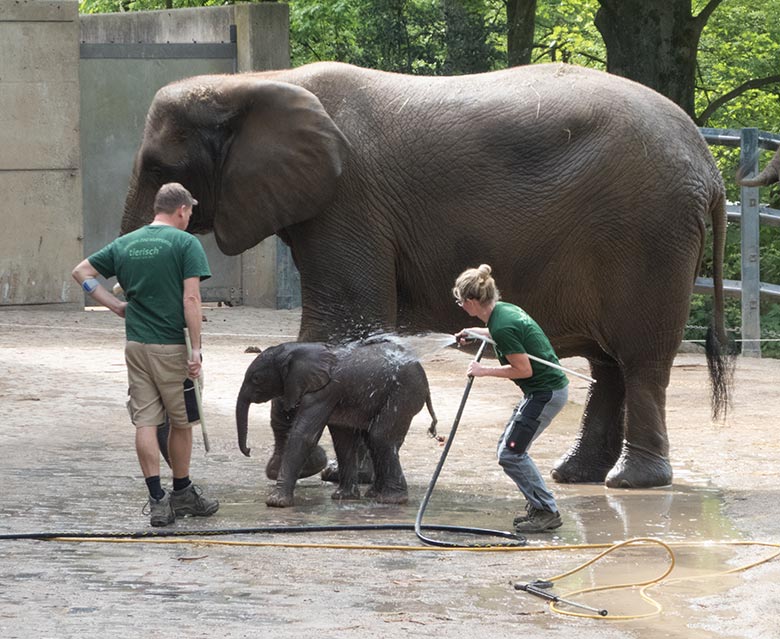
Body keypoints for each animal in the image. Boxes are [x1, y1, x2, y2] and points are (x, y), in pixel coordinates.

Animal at [120, 61, 732, 490]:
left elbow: (341, 320)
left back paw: (632, 482)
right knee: (608, 365)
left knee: (641, 359)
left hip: (650, 235)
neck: (255, 83)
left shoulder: (349, 202)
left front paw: (314, 470)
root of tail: (710, 166)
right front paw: (334, 472)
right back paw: (574, 474)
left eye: (161, 167)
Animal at [235, 342, 436, 508]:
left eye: (256, 379)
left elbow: (304, 435)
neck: (298, 351)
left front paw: (276, 502)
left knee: (379, 437)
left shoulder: (325, 391)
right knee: (377, 441)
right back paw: (374, 494)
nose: (249, 451)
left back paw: (391, 500)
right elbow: (342, 440)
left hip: (404, 393)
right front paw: (343, 497)